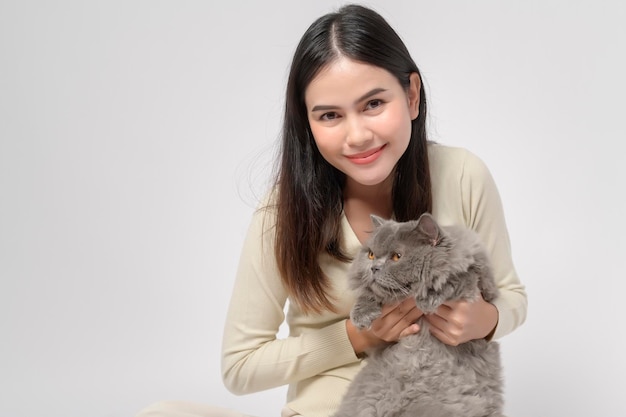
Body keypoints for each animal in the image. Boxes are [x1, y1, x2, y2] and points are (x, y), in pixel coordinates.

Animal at [332, 213, 502, 414]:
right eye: (371, 254)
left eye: (397, 256)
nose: (374, 268)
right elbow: (368, 294)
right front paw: (361, 315)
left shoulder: (482, 281)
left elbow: (459, 277)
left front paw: (428, 298)